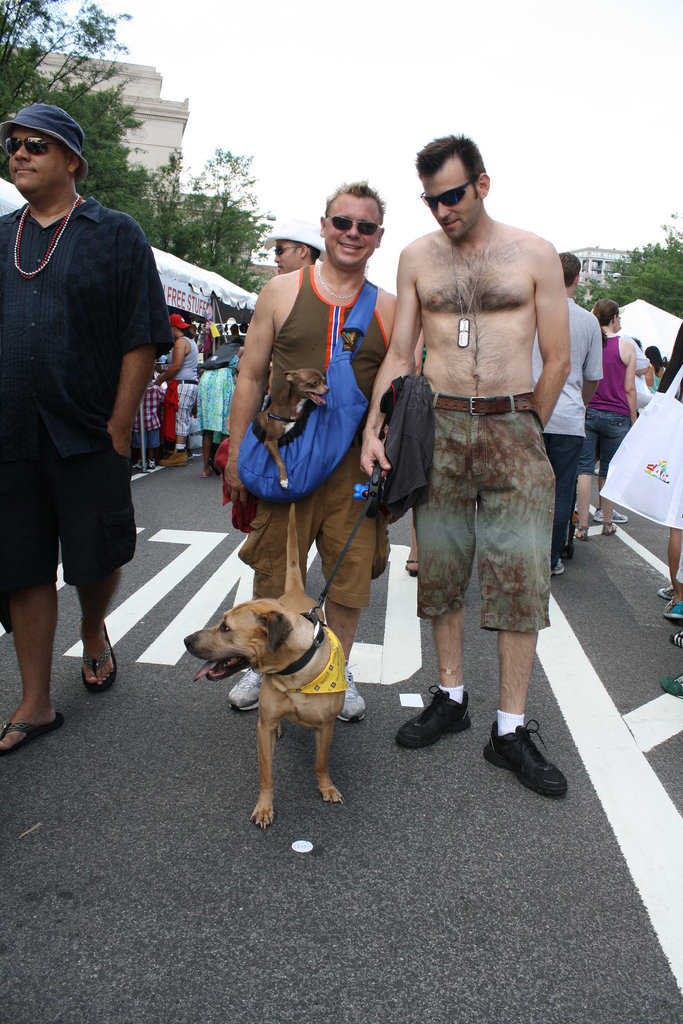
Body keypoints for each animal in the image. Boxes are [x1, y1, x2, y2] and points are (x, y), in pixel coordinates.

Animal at [183, 503, 348, 823]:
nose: (186, 640)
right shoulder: (264, 729)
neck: (294, 674)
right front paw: (264, 807)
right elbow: (266, 774)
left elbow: (321, 763)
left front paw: (327, 787)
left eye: (226, 628)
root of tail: (294, 592)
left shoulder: (325, 727)